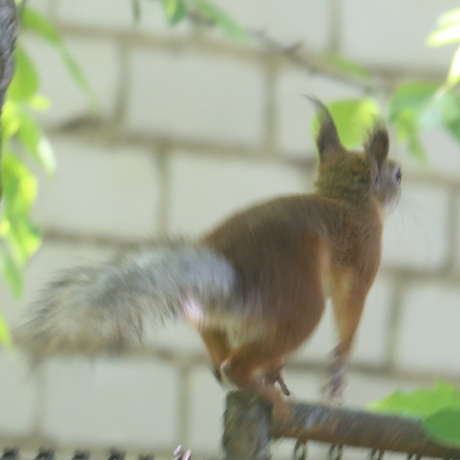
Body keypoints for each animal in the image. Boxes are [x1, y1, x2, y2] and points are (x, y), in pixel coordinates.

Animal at [13, 97, 401, 421]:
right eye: (396, 174)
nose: (401, 185)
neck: (345, 198)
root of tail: (231, 281)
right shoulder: (365, 257)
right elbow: (350, 313)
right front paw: (339, 366)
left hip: (228, 317)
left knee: (212, 333)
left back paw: (244, 369)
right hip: (300, 306)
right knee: (240, 364)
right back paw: (264, 390)